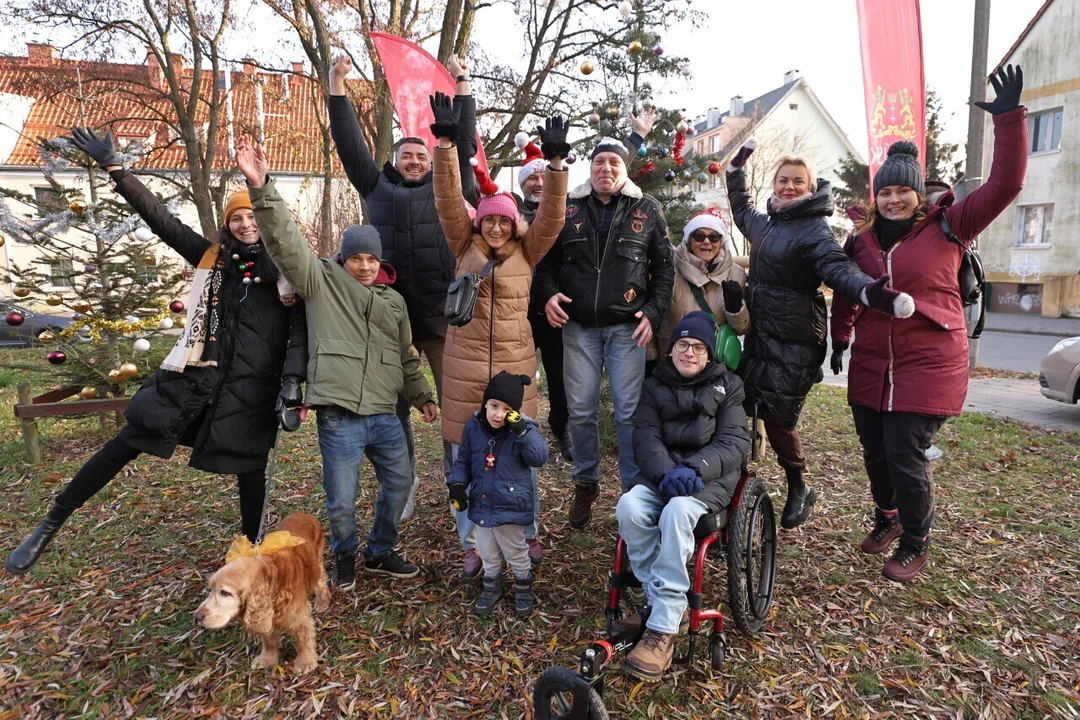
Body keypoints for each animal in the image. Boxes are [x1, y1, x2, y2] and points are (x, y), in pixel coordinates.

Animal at [194, 515, 328, 673]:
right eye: (211, 589)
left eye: (225, 593)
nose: (196, 617)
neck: (273, 584)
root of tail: (302, 514)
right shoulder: (264, 617)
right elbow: (269, 640)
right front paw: (267, 659)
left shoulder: (300, 617)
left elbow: (303, 640)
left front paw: (305, 662)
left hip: (317, 564)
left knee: (321, 584)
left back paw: (322, 603)